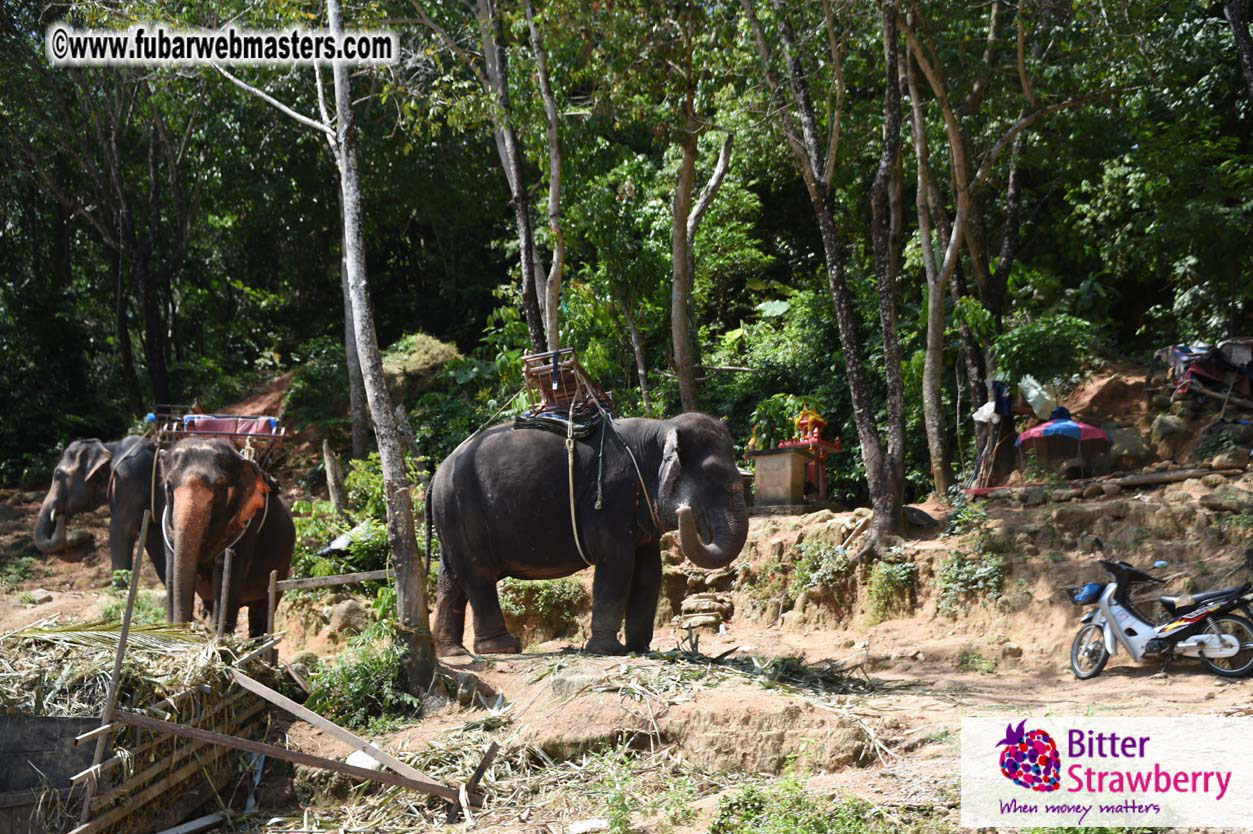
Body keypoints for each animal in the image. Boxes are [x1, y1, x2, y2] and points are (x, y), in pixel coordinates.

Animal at [33, 436, 166, 583]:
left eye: (58, 475)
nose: (59, 515)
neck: (109, 447)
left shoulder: (128, 477)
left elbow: (120, 529)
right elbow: (153, 535)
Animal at [160, 437, 295, 637]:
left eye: (221, 487)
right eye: (168, 486)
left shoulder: (247, 527)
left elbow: (227, 581)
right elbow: (171, 577)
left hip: (282, 567)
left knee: (260, 610)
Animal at [430, 411, 750, 656]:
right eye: (712, 476)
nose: (686, 512)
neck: (660, 428)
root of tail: (436, 475)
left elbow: (649, 570)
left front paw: (639, 649)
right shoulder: (608, 497)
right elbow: (617, 564)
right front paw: (608, 650)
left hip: (451, 521)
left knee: (451, 579)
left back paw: (453, 652)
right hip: (463, 513)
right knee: (479, 574)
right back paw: (502, 648)